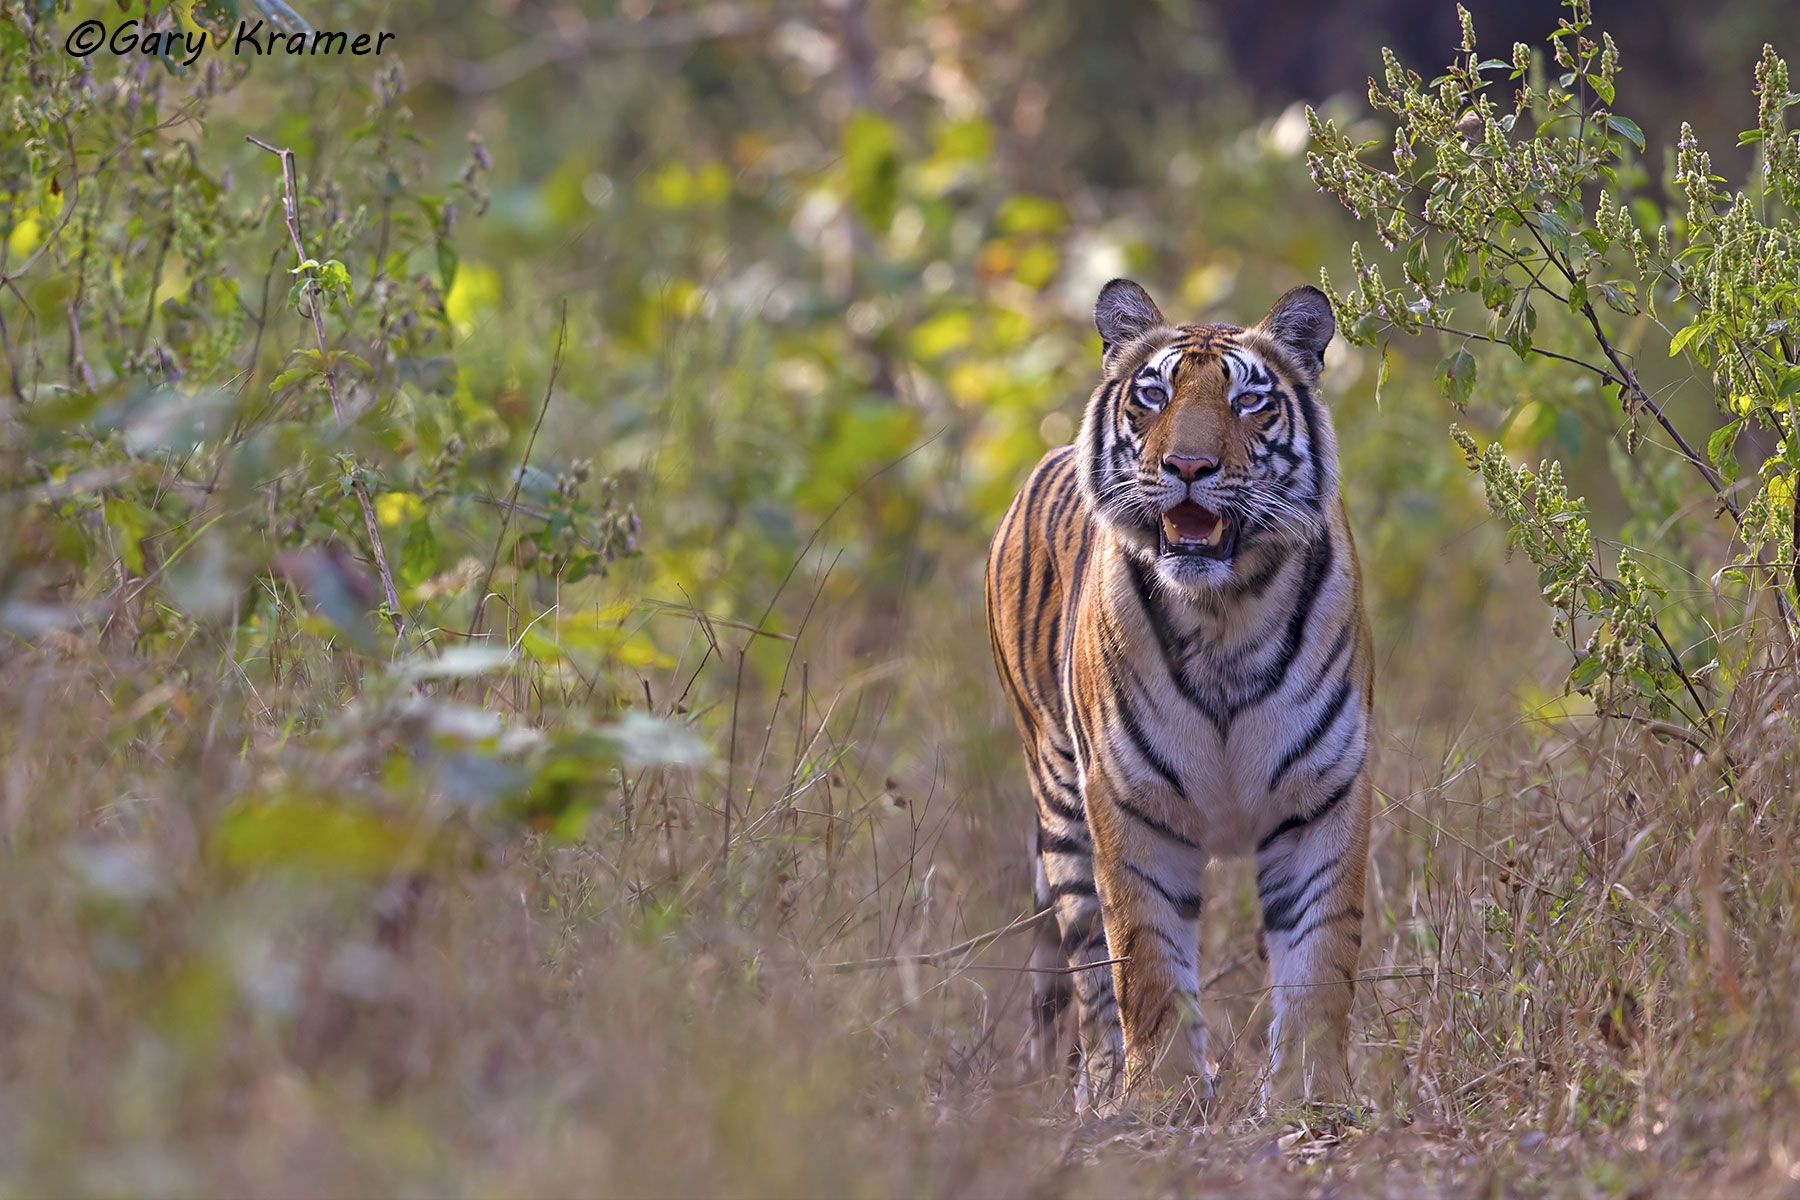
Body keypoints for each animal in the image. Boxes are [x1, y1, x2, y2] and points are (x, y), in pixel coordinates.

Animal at [985, 279, 1373, 1113]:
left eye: (1249, 400)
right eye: (1153, 395)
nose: (1188, 464)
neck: (1223, 614)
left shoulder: (1324, 791)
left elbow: (1321, 956)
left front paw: (1312, 1097)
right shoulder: (1129, 799)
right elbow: (1145, 962)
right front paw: (1161, 1097)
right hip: (1060, 801)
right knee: (1088, 970)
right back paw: (1101, 1089)